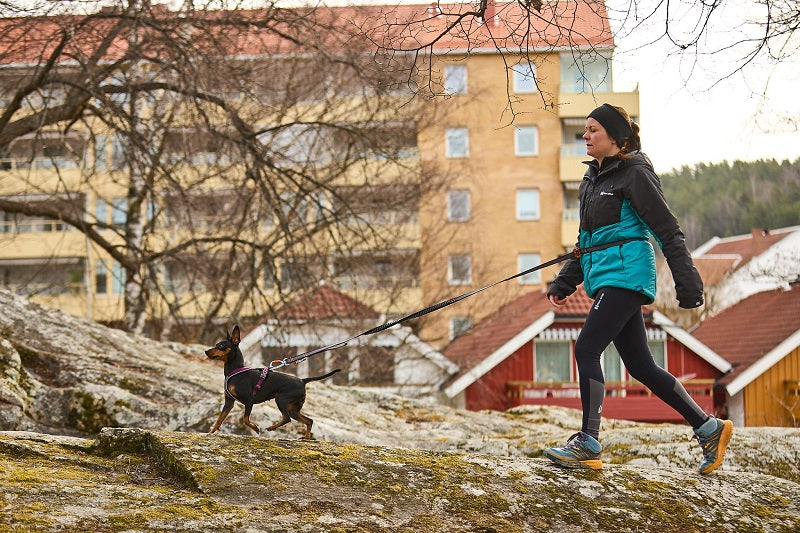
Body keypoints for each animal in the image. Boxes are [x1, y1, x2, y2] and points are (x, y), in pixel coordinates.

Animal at [205, 322, 340, 438]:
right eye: (216, 344)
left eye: (221, 346)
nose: (206, 351)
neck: (234, 372)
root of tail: (302, 380)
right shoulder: (228, 403)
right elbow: (219, 420)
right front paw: (210, 433)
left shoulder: (249, 400)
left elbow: (245, 419)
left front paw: (255, 428)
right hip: (293, 409)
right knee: (309, 420)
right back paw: (306, 437)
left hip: (280, 399)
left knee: (287, 418)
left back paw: (271, 428)